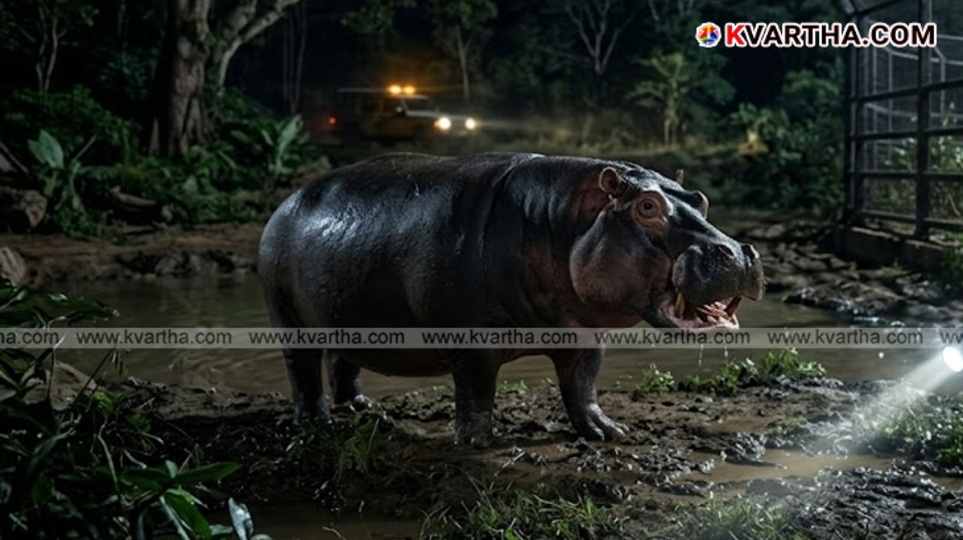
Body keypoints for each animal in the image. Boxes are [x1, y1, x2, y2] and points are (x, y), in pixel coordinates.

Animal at [258, 152, 764, 444]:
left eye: (700, 198)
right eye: (646, 206)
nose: (737, 251)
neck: (564, 220)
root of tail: (288, 200)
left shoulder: (586, 335)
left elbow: (582, 387)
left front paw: (608, 431)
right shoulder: (473, 343)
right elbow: (477, 392)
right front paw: (480, 443)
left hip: (346, 307)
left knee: (344, 360)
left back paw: (363, 409)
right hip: (289, 317)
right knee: (303, 370)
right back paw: (318, 423)